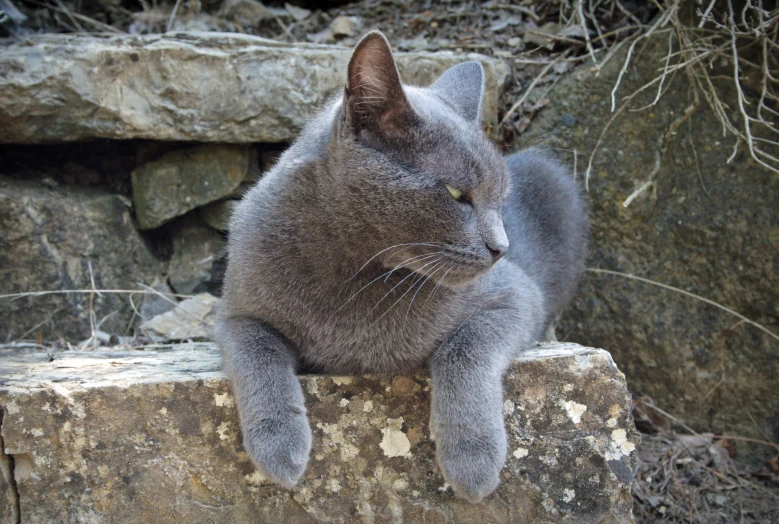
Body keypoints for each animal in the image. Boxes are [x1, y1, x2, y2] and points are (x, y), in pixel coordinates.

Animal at [216, 30, 588, 502]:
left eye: (501, 200)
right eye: (456, 193)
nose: (502, 248)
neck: (353, 272)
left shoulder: (515, 296)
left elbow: (465, 347)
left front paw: (472, 456)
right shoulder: (236, 312)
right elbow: (256, 351)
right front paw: (278, 445)